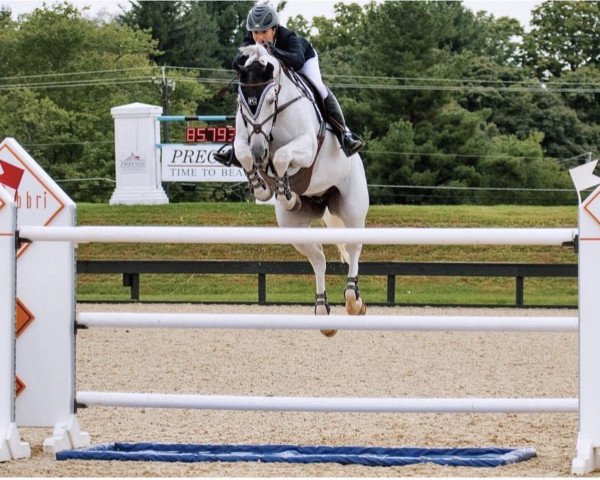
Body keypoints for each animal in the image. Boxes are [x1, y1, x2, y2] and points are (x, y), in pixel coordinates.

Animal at [232, 46, 368, 338]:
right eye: (243, 99)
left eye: (271, 99)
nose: (260, 151)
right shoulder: (243, 139)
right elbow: (243, 153)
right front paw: (265, 189)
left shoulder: (306, 145)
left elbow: (283, 156)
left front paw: (284, 191)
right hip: (293, 228)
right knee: (318, 258)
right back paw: (322, 313)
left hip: (352, 208)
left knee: (354, 247)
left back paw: (354, 301)